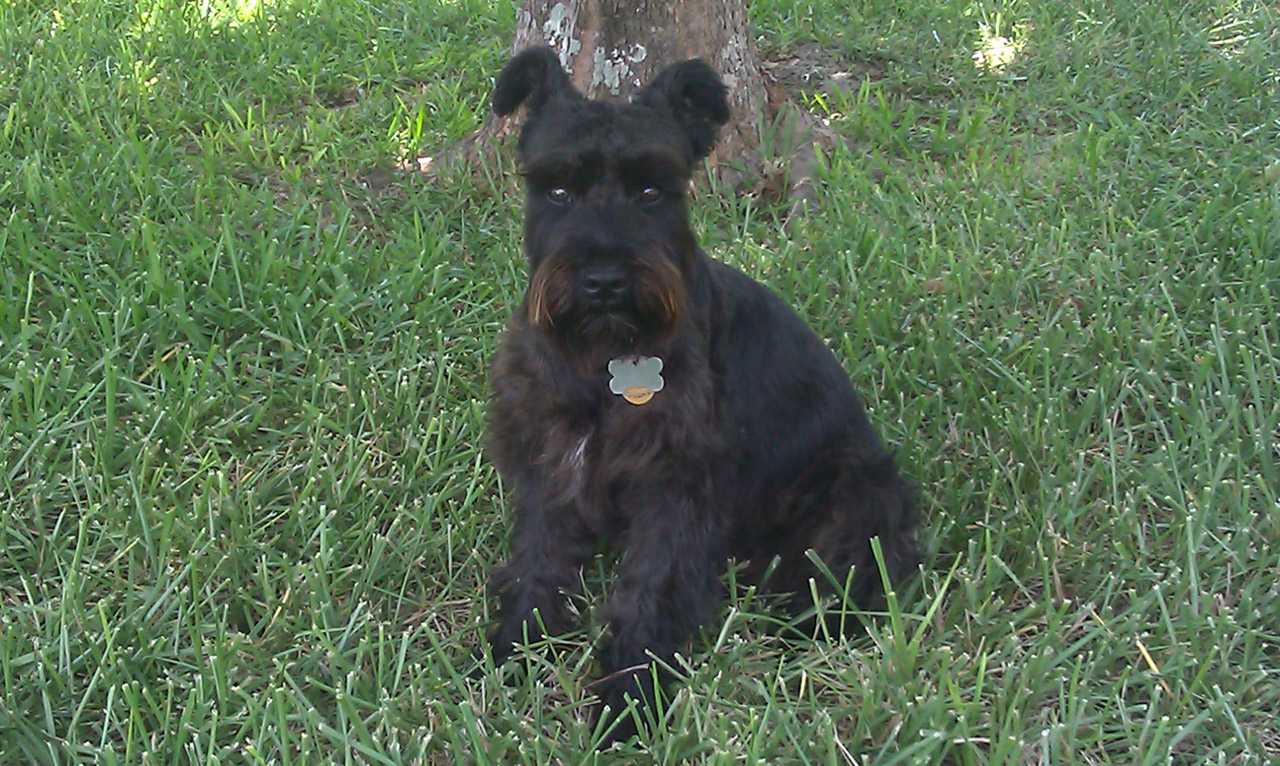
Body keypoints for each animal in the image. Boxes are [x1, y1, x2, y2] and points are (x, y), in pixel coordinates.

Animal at [481, 45, 921, 748]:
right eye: (556, 189)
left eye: (652, 190)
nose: (604, 280)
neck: (604, 358)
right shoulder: (552, 461)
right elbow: (538, 561)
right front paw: (514, 648)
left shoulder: (676, 487)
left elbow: (650, 589)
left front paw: (627, 700)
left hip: (860, 493)